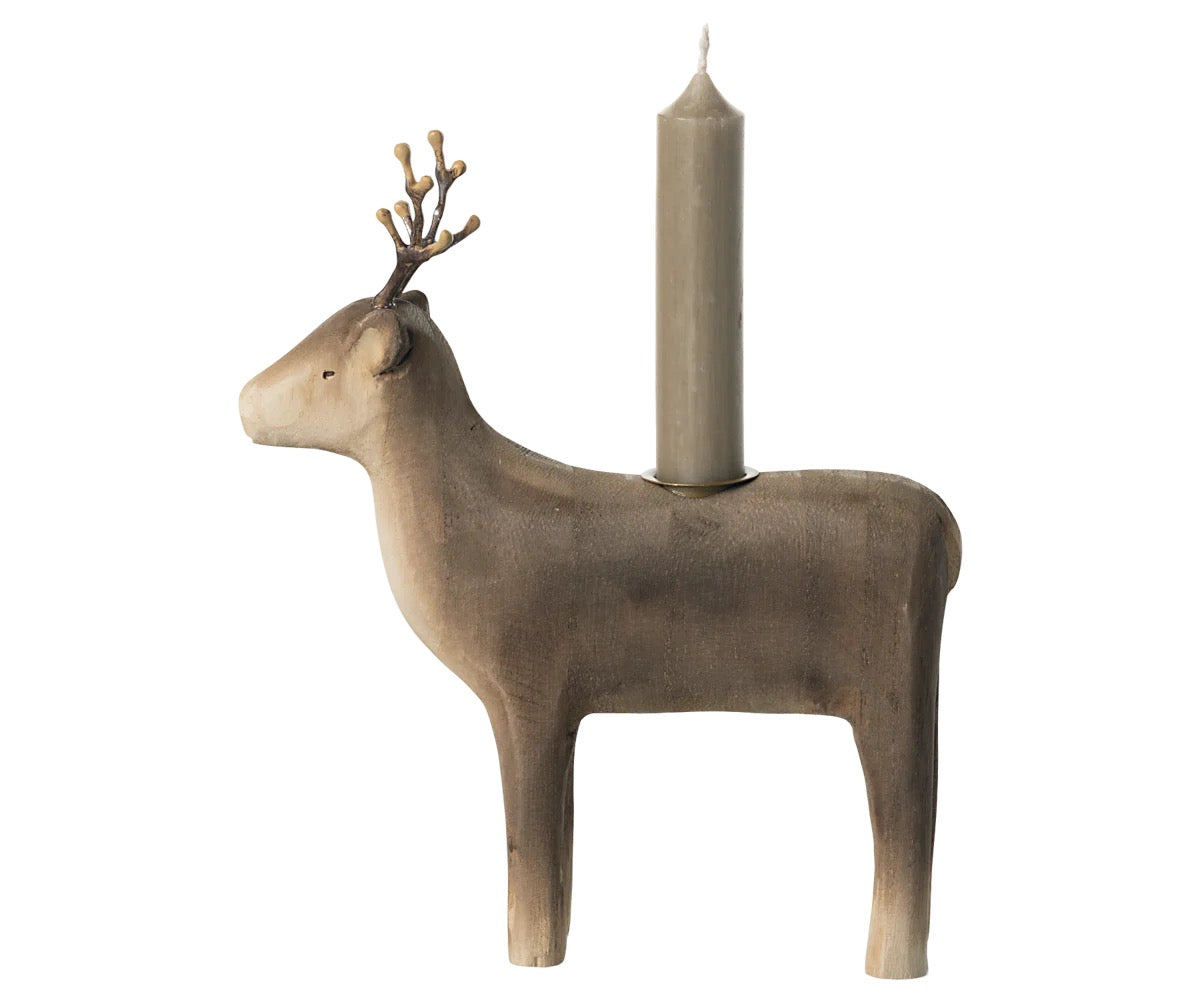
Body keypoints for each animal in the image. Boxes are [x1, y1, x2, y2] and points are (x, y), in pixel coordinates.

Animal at [239, 131, 962, 979]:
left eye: (325, 368)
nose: (243, 402)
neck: (461, 528)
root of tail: (948, 532)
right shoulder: (563, 704)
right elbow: (561, 850)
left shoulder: (530, 684)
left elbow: (528, 849)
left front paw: (528, 957)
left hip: (887, 689)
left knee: (907, 823)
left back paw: (889, 964)